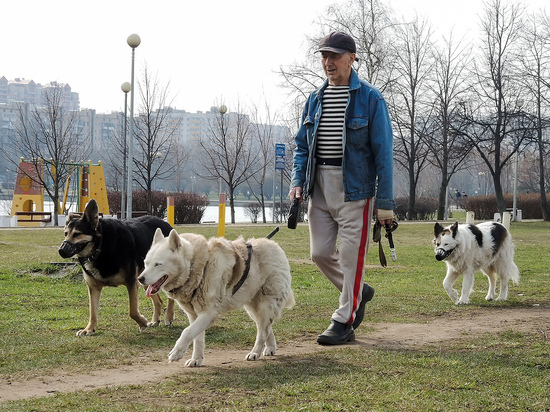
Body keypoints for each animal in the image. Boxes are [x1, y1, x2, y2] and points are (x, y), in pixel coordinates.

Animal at [58, 199, 175, 334]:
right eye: (65, 234)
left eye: (77, 234)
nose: (61, 251)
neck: (100, 246)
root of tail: (165, 223)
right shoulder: (93, 287)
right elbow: (93, 311)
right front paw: (89, 329)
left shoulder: (131, 282)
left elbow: (132, 311)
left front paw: (142, 322)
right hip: (147, 277)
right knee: (159, 301)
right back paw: (155, 320)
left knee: (171, 297)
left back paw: (169, 317)